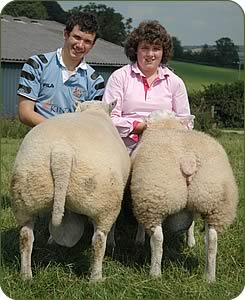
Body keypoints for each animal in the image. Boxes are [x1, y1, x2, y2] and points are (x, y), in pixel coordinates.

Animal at [10, 100, 131, 282]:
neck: (93, 111)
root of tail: (61, 152)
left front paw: (51, 240)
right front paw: (112, 243)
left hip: (26, 194)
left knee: (25, 236)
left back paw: (26, 276)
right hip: (104, 200)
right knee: (98, 240)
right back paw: (96, 279)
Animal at [131, 109, 238, 282]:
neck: (166, 126)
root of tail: (188, 160)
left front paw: (139, 240)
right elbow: (192, 222)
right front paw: (191, 242)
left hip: (153, 198)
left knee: (158, 239)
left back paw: (155, 273)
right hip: (215, 202)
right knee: (212, 240)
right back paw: (209, 277)